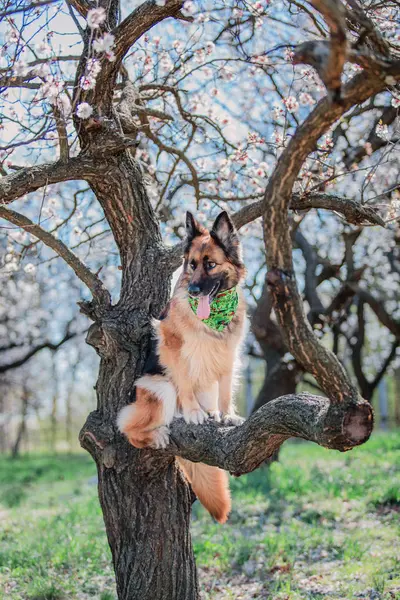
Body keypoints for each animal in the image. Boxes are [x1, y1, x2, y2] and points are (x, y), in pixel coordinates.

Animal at [117, 211, 245, 520]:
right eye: (192, 264)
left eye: (211, 264)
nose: (195, 290)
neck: (212, 318)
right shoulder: (174, 349)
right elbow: (185, 382)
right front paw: (193, 413)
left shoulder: (228, 356)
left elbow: (227, 392)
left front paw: (227, 415)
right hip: (160, 388)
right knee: (127, 427)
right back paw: (161, 430)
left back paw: (210, 413)